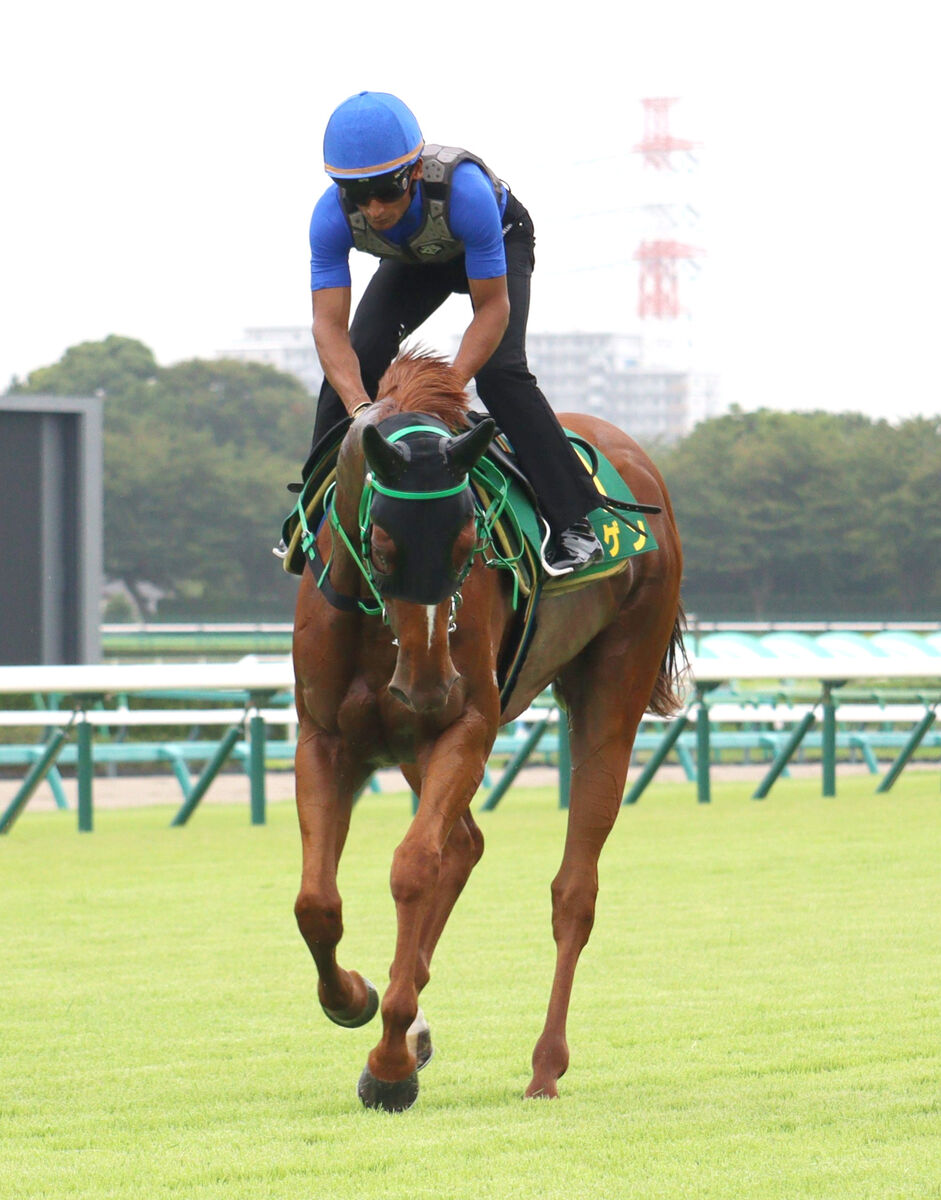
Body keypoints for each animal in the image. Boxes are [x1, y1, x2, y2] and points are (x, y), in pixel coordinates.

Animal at [290, 350, 681, 1108]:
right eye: (382, 544)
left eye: (469, 540)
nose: (427, 685)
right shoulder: (325, 736)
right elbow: (316, 902)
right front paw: (354, 999)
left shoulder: (466, 723)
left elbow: (414, 867)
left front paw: (388, 1064)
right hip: (411, 743)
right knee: (465, 843)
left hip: (615, 677)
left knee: (573, 890)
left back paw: (544, 1065)